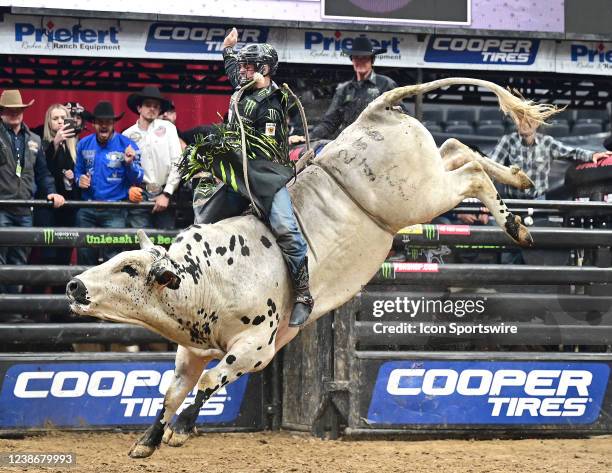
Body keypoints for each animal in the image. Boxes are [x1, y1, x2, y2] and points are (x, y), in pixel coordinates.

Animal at [67, 78, 560, 458]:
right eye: (114, 260)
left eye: (129, 270)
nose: (73, 286)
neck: (205, 277)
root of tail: (374, 112)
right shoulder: (191, 349)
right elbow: (172, 391)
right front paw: (148, 440)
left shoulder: (256, 347)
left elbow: (210, 379)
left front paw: (181, 431)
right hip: (428, 179)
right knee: (459, 150)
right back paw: (519, 179)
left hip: (421, 197)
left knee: (471, 174)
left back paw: (517, 225)